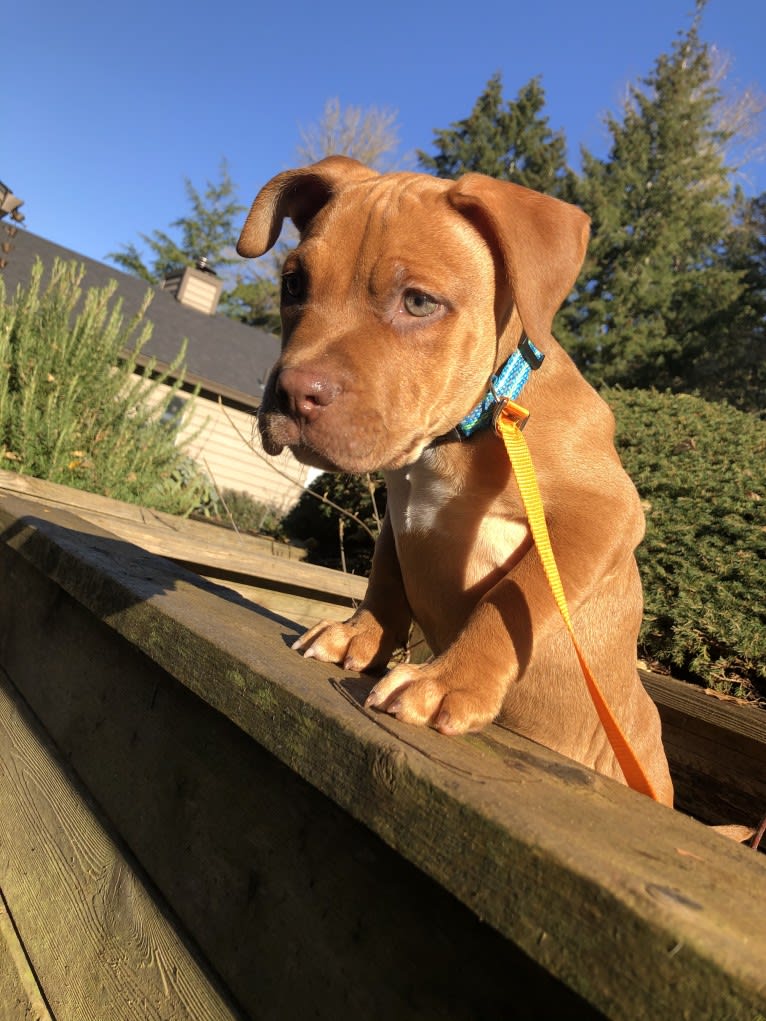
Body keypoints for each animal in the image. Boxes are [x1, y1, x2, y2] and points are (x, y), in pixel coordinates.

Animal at [238, 155, 669, 800]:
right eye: (294, 284)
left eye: (419, 303)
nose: (291, 393)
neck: (467, 428)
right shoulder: (401, 514)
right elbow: (386, 576)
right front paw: (360, 635)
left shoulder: (602, 513)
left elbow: (513, 592)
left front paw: (447, 680)